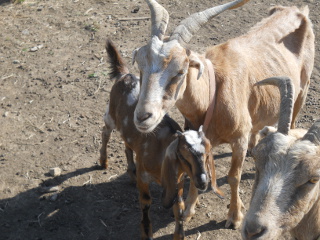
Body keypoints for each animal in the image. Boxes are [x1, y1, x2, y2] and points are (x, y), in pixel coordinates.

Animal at [99, 39, 222, 240]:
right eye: (183, 154)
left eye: (207, 154)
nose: (203, 182)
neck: (160, 151)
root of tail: (125, 74)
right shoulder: (144, 176)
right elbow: (146, 202)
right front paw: (146, 232)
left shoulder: (177, 181)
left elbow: (179, 207)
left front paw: (179, 234)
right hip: (110, 114)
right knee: (105, 133)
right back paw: (103, 161)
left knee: (127, 145)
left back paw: (130, 172)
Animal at [131, 0, 316, 229]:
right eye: (141, 66)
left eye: (180, 71)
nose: (143, 117)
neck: (213, 93)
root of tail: (299, 10)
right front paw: (188, 210)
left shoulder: (238, 140)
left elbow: (233, 177)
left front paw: (235, 216)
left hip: (303, 88)